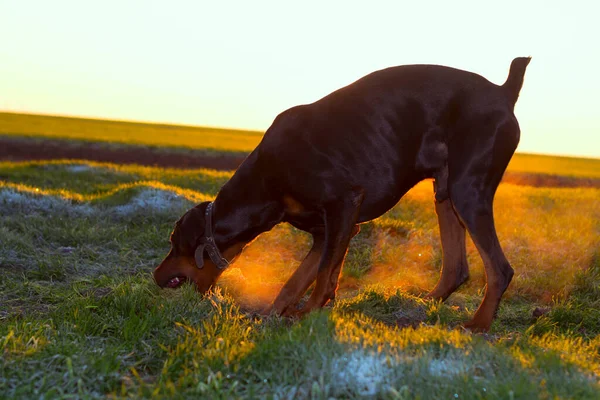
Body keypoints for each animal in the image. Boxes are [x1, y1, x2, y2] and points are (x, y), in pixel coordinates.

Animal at [154, 56, 528, 332]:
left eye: (173, 242)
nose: (155, 277)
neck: (267, 178)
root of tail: (503, 91)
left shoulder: (344, 206)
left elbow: (321, 276)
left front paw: (307, 315)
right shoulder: (327, 231)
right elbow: (299, 280)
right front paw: (275, 315)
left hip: (467, 191)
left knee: (500, 269)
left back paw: (478, 326)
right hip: (445, 193)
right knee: (456, 268)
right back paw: (422, 305)